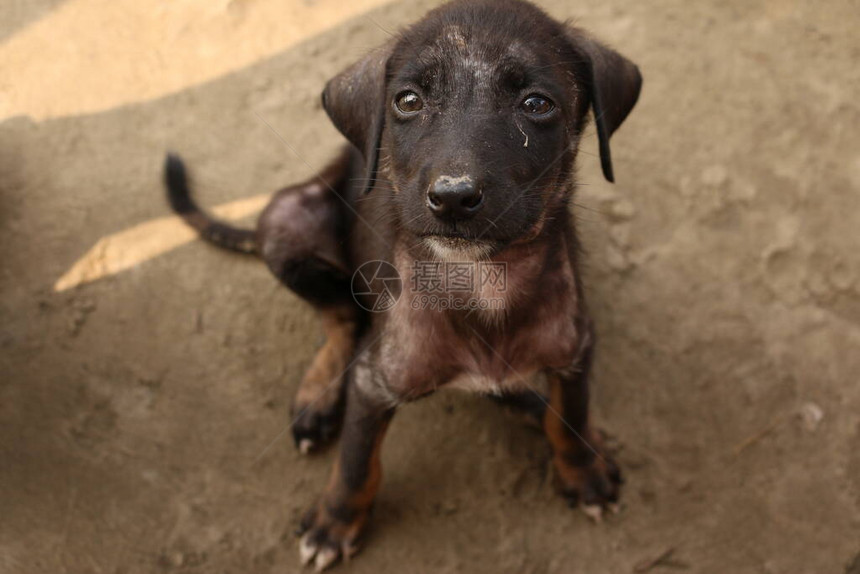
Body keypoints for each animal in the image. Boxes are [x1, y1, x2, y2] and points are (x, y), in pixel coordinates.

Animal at [166, 0, 640, 572]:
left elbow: (572, 413)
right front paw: (335, 522)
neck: (481, 280)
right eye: (409, 101)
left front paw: (584, 471)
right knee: (341, 317)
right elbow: (355, 461)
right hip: (285, 220)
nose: (454, 197)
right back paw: (318, 399)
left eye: (537, 104)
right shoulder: (374, 380)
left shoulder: (575, 345)